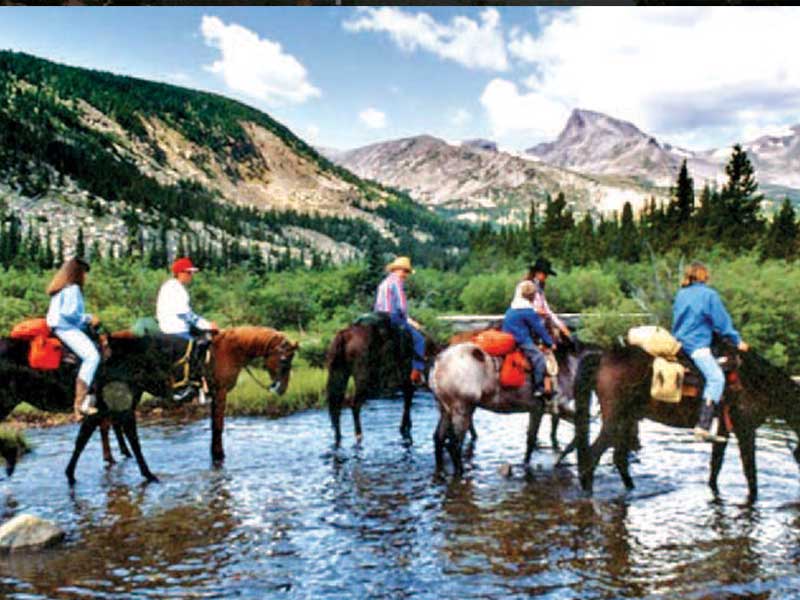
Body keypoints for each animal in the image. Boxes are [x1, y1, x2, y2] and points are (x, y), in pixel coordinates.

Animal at [99, 328, 298, 464]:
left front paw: (215, 453)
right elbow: (218, 426)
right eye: (284, 360)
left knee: (110, 424)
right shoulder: (220, 393)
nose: (281, 389)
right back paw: (111, 457)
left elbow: (214, 425)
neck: (229, 351)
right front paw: (218, 455)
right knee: (106, 424)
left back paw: (120, 454)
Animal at [324, 314, 438, 446]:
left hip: (339, 375)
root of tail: (345, 335)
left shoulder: (407, 385)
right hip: (363, 381)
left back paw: (338, 436)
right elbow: (407, 405)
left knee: (336, 407)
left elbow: (407, 405)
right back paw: (358, 435)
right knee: (355, 405)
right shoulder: (408, 384)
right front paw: (405, 427)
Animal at [572, 340, 800, 504]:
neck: (758, 382)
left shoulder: (724, 426)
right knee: (592, 457)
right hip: (614, 421)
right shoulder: (745, 427)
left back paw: (632, 489)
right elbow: (750, 471)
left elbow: (716, 463)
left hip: (627, 420)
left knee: (619, 459)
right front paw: (753, 499)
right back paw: (588, 496)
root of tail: (603, 357)